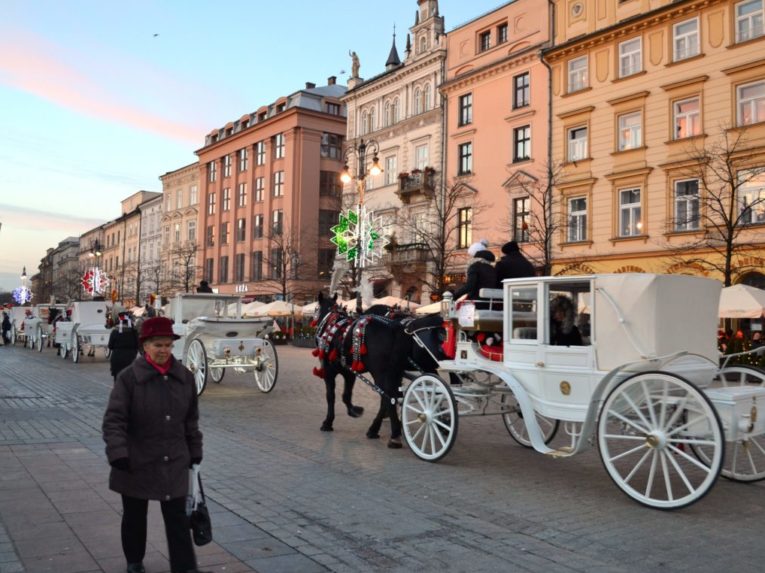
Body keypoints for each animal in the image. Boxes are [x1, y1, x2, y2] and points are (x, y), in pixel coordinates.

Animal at [310, 294, 442, 446]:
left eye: (316, 308)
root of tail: (395, 328)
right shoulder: (349, 372)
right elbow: (346, 395)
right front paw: (354, 410)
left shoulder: (329, 371)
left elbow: (331, 396)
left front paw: (328, 422)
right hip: (397, 371)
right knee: (397, 395)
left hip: (382, 372)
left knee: (388, 397)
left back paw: (389, 432)